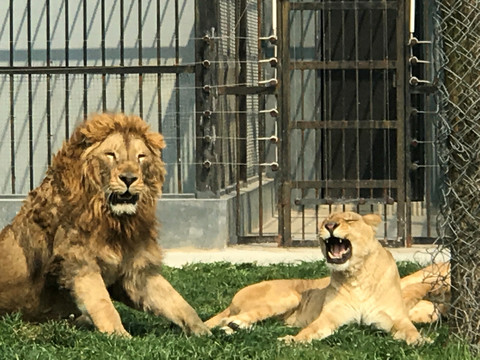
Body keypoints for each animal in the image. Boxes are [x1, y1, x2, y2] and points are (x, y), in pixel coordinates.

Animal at [0, 113, 210, 338]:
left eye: (140, 157)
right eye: (111, 155)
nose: (129, 178)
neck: (115, 221)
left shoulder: (136, 272)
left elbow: (177, 302)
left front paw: (206, 331)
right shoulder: (78, 263)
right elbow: (102, 303)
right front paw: (120, 337)